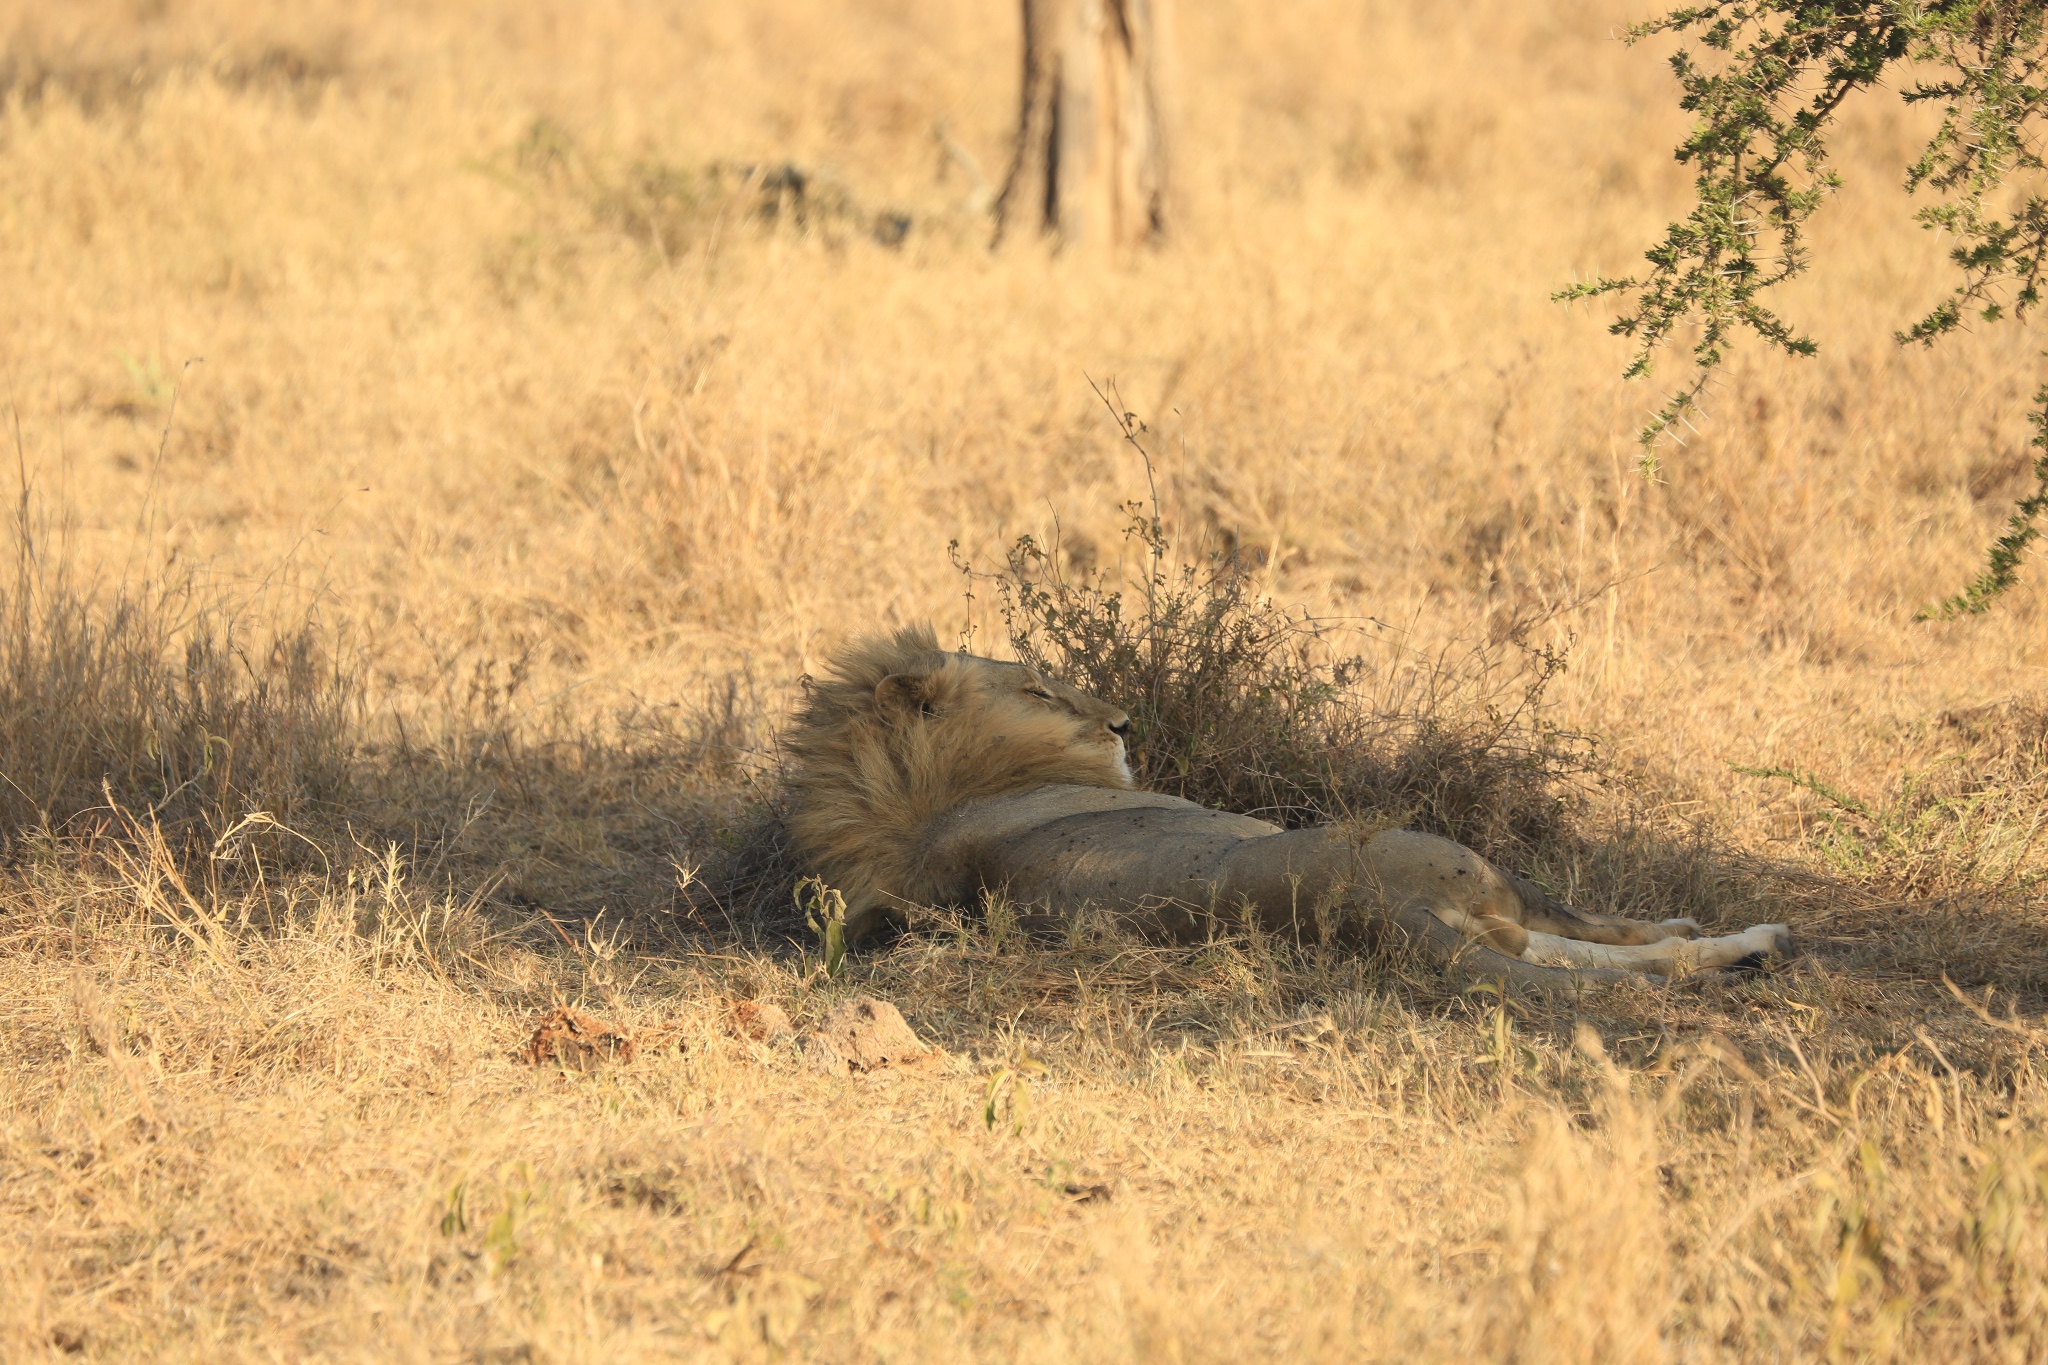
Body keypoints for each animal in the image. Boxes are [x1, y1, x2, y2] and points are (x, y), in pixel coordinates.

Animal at [786, 626, 1794, 986]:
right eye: (1038, 686)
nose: (1123, 721)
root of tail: (1371, 910)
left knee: (1570, 952)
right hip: (1458, 857)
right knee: (1608, 941)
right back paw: (1751, 941)